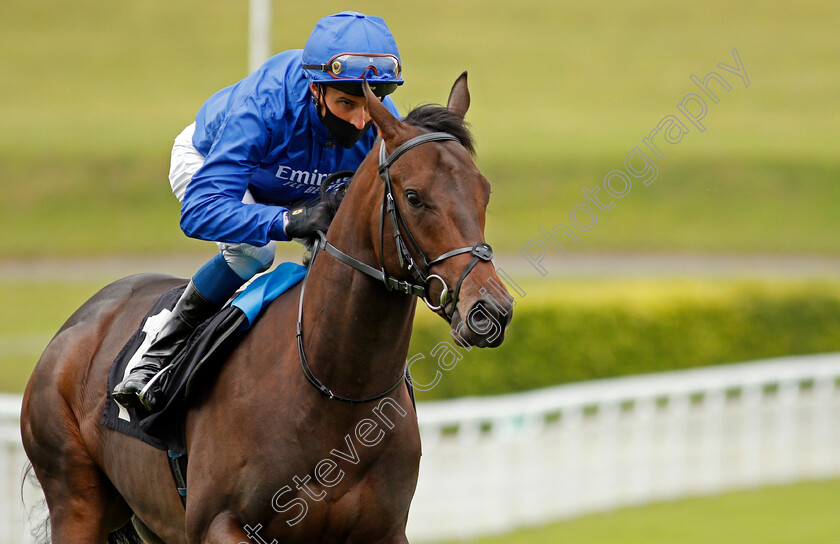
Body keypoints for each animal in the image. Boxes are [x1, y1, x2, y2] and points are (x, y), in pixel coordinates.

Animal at [19, 73, 516, 544]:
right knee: (246, 252)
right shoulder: (217, 524)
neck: (336, 391)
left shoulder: (386, 531)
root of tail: (80, 322)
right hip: (76, 500)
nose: (490, 309)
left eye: (485, 191)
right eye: (414, 197)